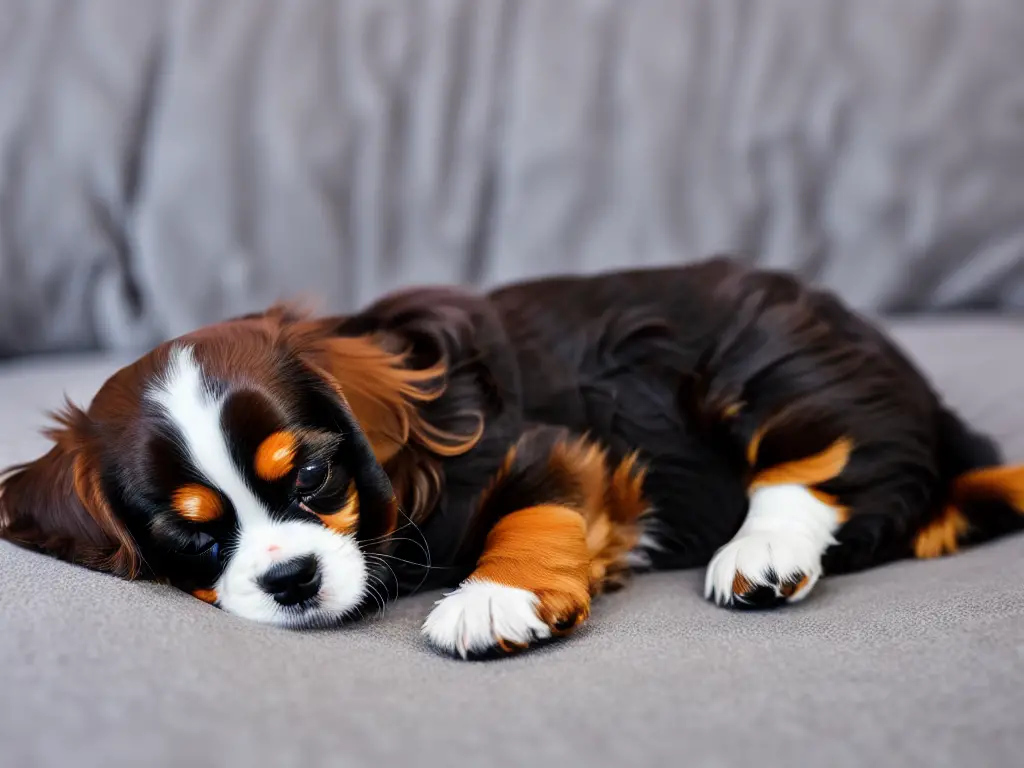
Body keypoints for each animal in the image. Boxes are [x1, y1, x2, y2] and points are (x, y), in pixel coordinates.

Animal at [2, 262, 1024, 659]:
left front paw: (494, 598)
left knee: (820, 461)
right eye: (189, 533)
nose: (292, 580)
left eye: (313, 477)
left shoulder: (552, 443)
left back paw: (760, 552)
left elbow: (534, 509)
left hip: (773, 356)